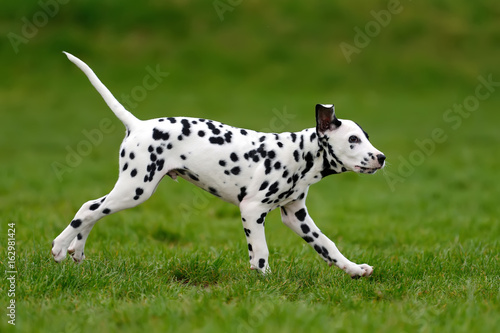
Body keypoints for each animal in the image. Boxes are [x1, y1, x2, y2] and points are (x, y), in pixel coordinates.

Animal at [51, 52, 386, 278]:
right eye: (353, 139)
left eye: (367, 137)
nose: (381, 157)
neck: (298, 155)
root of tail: (138, 124)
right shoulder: (252, 209)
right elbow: (261, 253)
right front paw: (265, 281)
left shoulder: (296, 216)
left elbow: (327, 246)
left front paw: (354, 269)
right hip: (136, 189)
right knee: (88, 209)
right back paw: (59, 247)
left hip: (130, 189)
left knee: (93, 209)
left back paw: (77, 250)